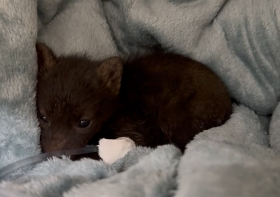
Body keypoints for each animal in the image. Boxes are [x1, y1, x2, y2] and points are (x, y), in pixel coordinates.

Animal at [35, 42, 232, 154]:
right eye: (43, 117)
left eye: (84, 123)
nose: (52, 153)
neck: (118, 104)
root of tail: (228, 104)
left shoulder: (132, 129)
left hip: (176, 117)